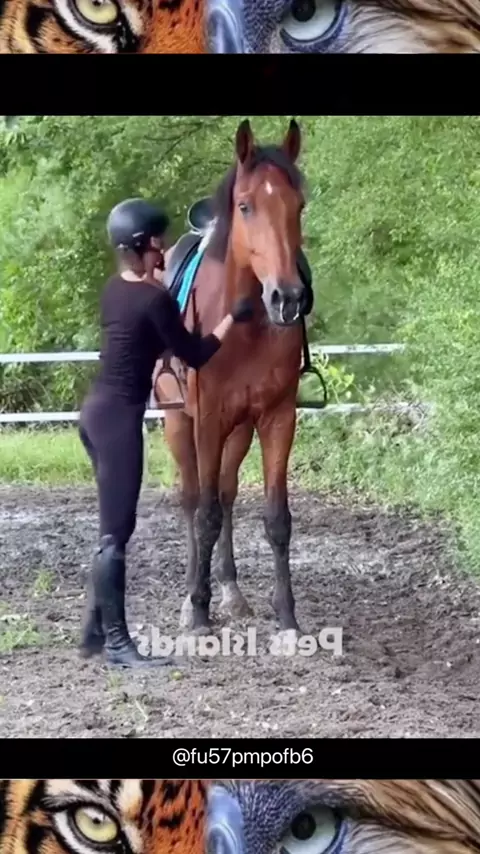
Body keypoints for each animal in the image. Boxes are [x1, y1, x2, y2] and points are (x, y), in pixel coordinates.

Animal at [155, 118, 316, 636]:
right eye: (245, 206)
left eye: (298, 206)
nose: (287, 298)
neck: (244, 326)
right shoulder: (206, 420)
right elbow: (203, 513)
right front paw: (198, 610)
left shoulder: (277, 418)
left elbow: (276, 517)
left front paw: (286, 617)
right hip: (178, 422)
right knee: (193, 499)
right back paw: (193, 593)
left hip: (240, 429)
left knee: (225, 494)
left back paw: (231, 589)